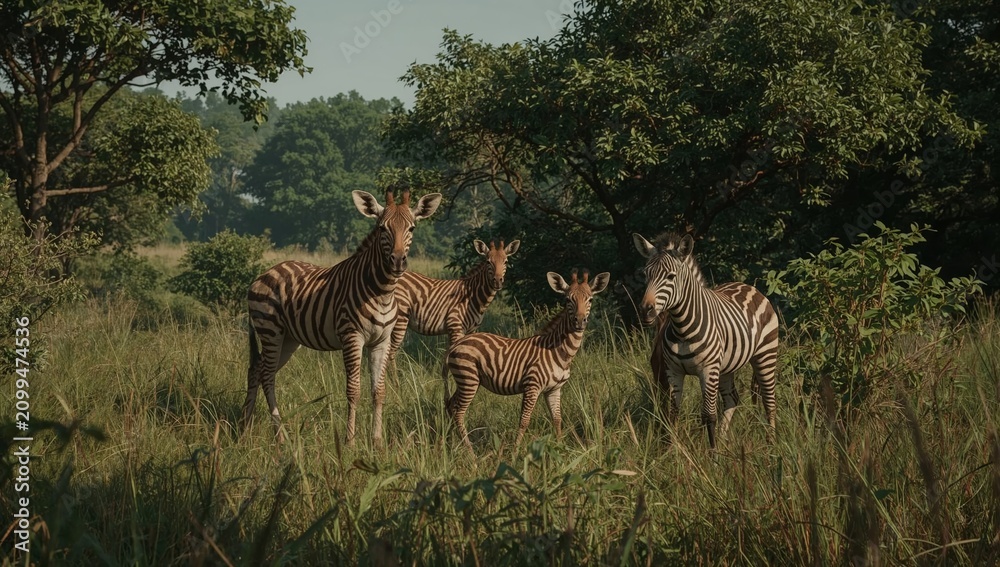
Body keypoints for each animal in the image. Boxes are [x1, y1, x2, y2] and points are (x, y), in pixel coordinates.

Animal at [242, 189, 442, 446]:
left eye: (412, 228)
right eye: (382, 228)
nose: (398, 261)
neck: (383, 291)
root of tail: (264, 273)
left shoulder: (382, 342)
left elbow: (379, 391)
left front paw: (377, 442)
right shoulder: (352, 338)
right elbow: (354, 389)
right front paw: (350, 441)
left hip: (288, 339)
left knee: (256, 370)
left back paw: (244, 428)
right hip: (270, 330)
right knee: (266, 376)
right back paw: (280, 436)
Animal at [387, 239, 520, 390]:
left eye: (506, 261)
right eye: (488, 262)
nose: (497, 281)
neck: (473, 296)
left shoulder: (471, 330)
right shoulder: (455, 327)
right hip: (400, 319)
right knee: (390, 352)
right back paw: (395, 386)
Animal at [443, 269, 610, 451]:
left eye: (590, 299)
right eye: (567, 300)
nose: (579, 322)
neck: (559, 352)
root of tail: (457, 343)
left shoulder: (554, 389)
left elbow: (557, 419)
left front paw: (559, 448)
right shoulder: (532, 387)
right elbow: (524, 421)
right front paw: (515, 451)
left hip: (466, 380)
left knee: (450, 406)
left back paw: (450, 443)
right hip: (468, 379)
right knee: (459, 412)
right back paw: (470, 451)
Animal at [632, 232, 778, 449]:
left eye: (670, 277)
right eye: (646, 275)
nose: (644, 311)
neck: (682, 328)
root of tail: (749, 287)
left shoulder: (708, 370)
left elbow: (708, 416)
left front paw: (713, 454)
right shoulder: (673, 371)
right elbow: (673, 413)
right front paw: (672, 450)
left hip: (765, 355)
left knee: (769, 400)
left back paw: (771, 444)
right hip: (726, 366)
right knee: (732, 399)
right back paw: (724, 439)